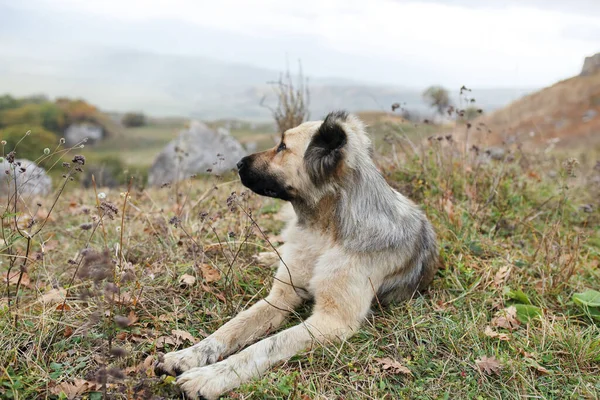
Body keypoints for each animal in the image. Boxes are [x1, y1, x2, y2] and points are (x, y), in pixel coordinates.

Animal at [152, 111, 438, 398]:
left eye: (282, 147)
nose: (238, 163)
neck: (324, 232)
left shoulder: (332, 320)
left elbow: (265, 345)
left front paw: (210, 377)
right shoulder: (281, 297)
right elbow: (231, 328)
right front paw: (188, 355)